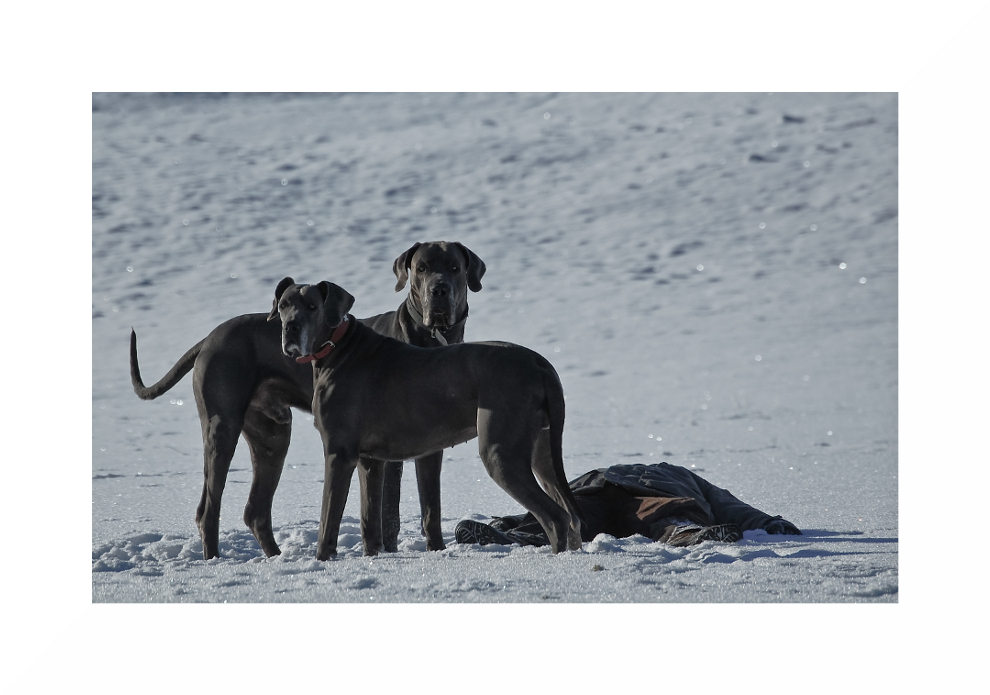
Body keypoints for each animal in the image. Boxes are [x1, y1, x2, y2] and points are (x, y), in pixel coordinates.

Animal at [130, 242, 486, 564]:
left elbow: (421, 507)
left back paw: (276, 558)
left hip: (273, 435)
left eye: (454, 268)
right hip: (222, 429)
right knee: (209, 508)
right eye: (421, 268)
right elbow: (382, 514)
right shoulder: (375, 455)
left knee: (255, 511)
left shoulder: (411, 450)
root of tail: (209, 337)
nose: (439, 290)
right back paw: (214, 560)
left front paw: (428, 550)